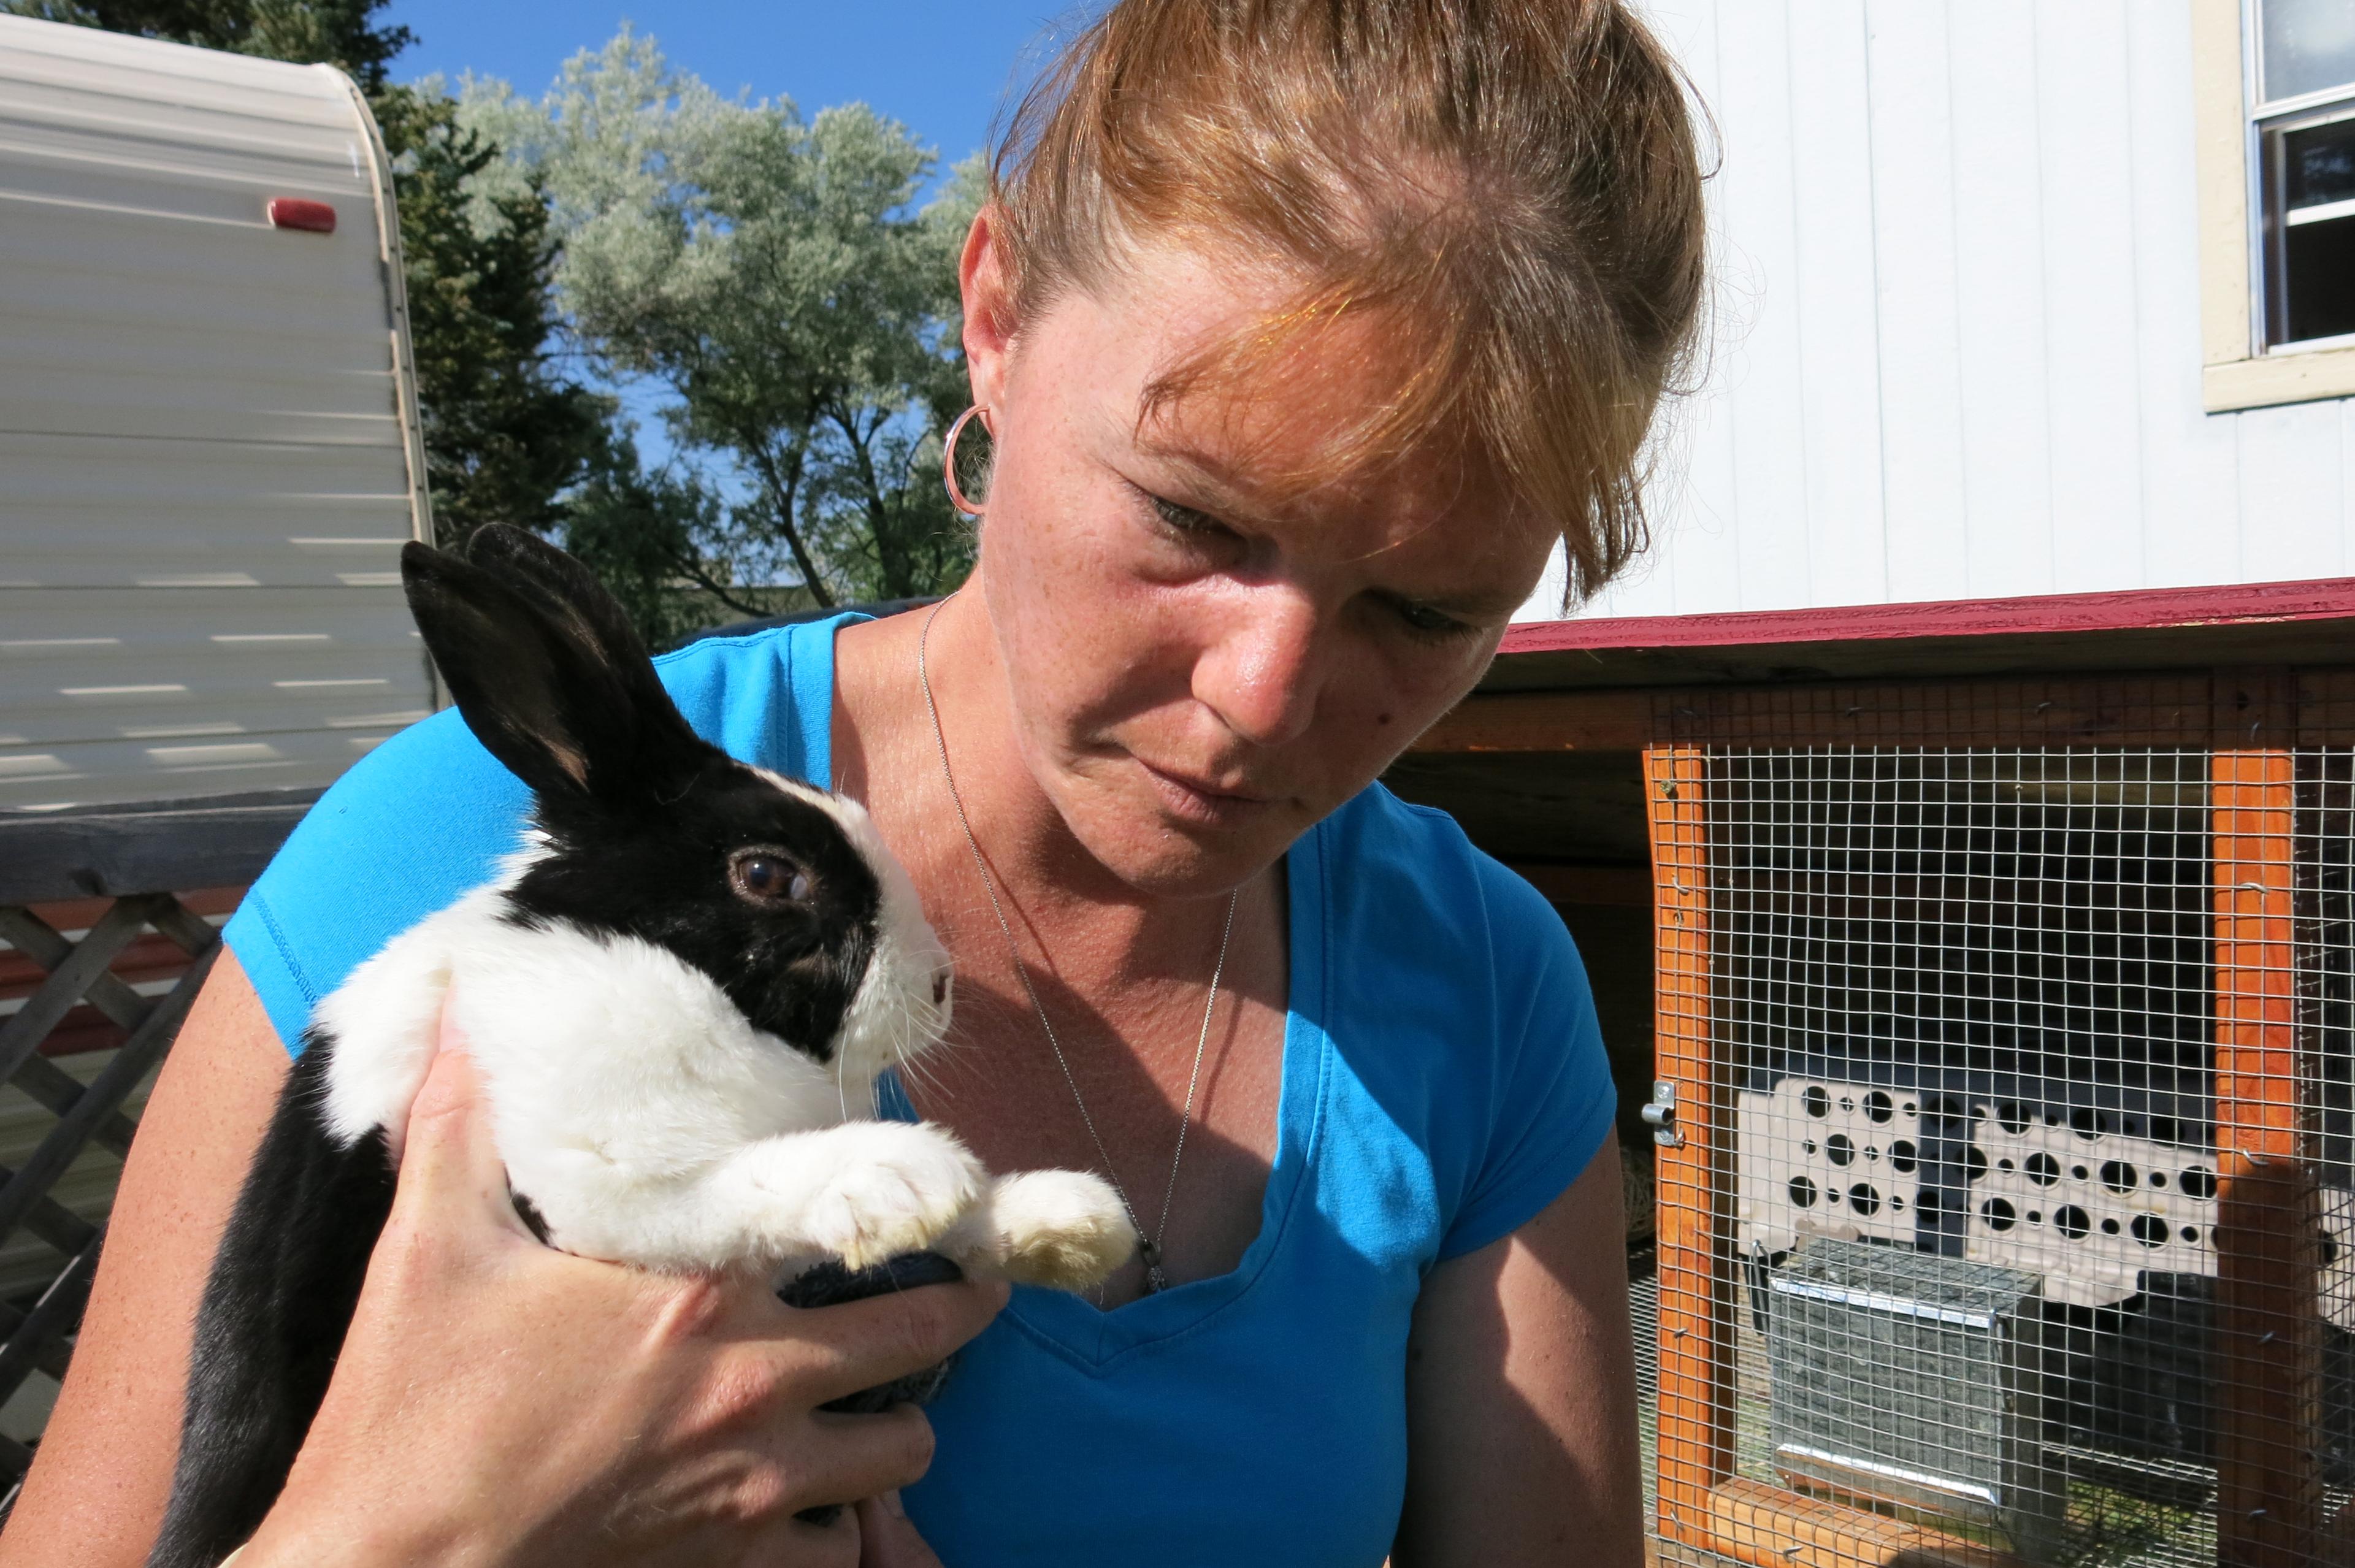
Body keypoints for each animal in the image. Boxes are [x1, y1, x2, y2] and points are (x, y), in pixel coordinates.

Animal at [149, 525, 1139, 1563]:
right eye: (767, 875)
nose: (941, 985)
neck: (673, 975)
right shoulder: (589, 1184)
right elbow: (750, 1182)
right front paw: (905, 1175)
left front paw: (1065, 1219)